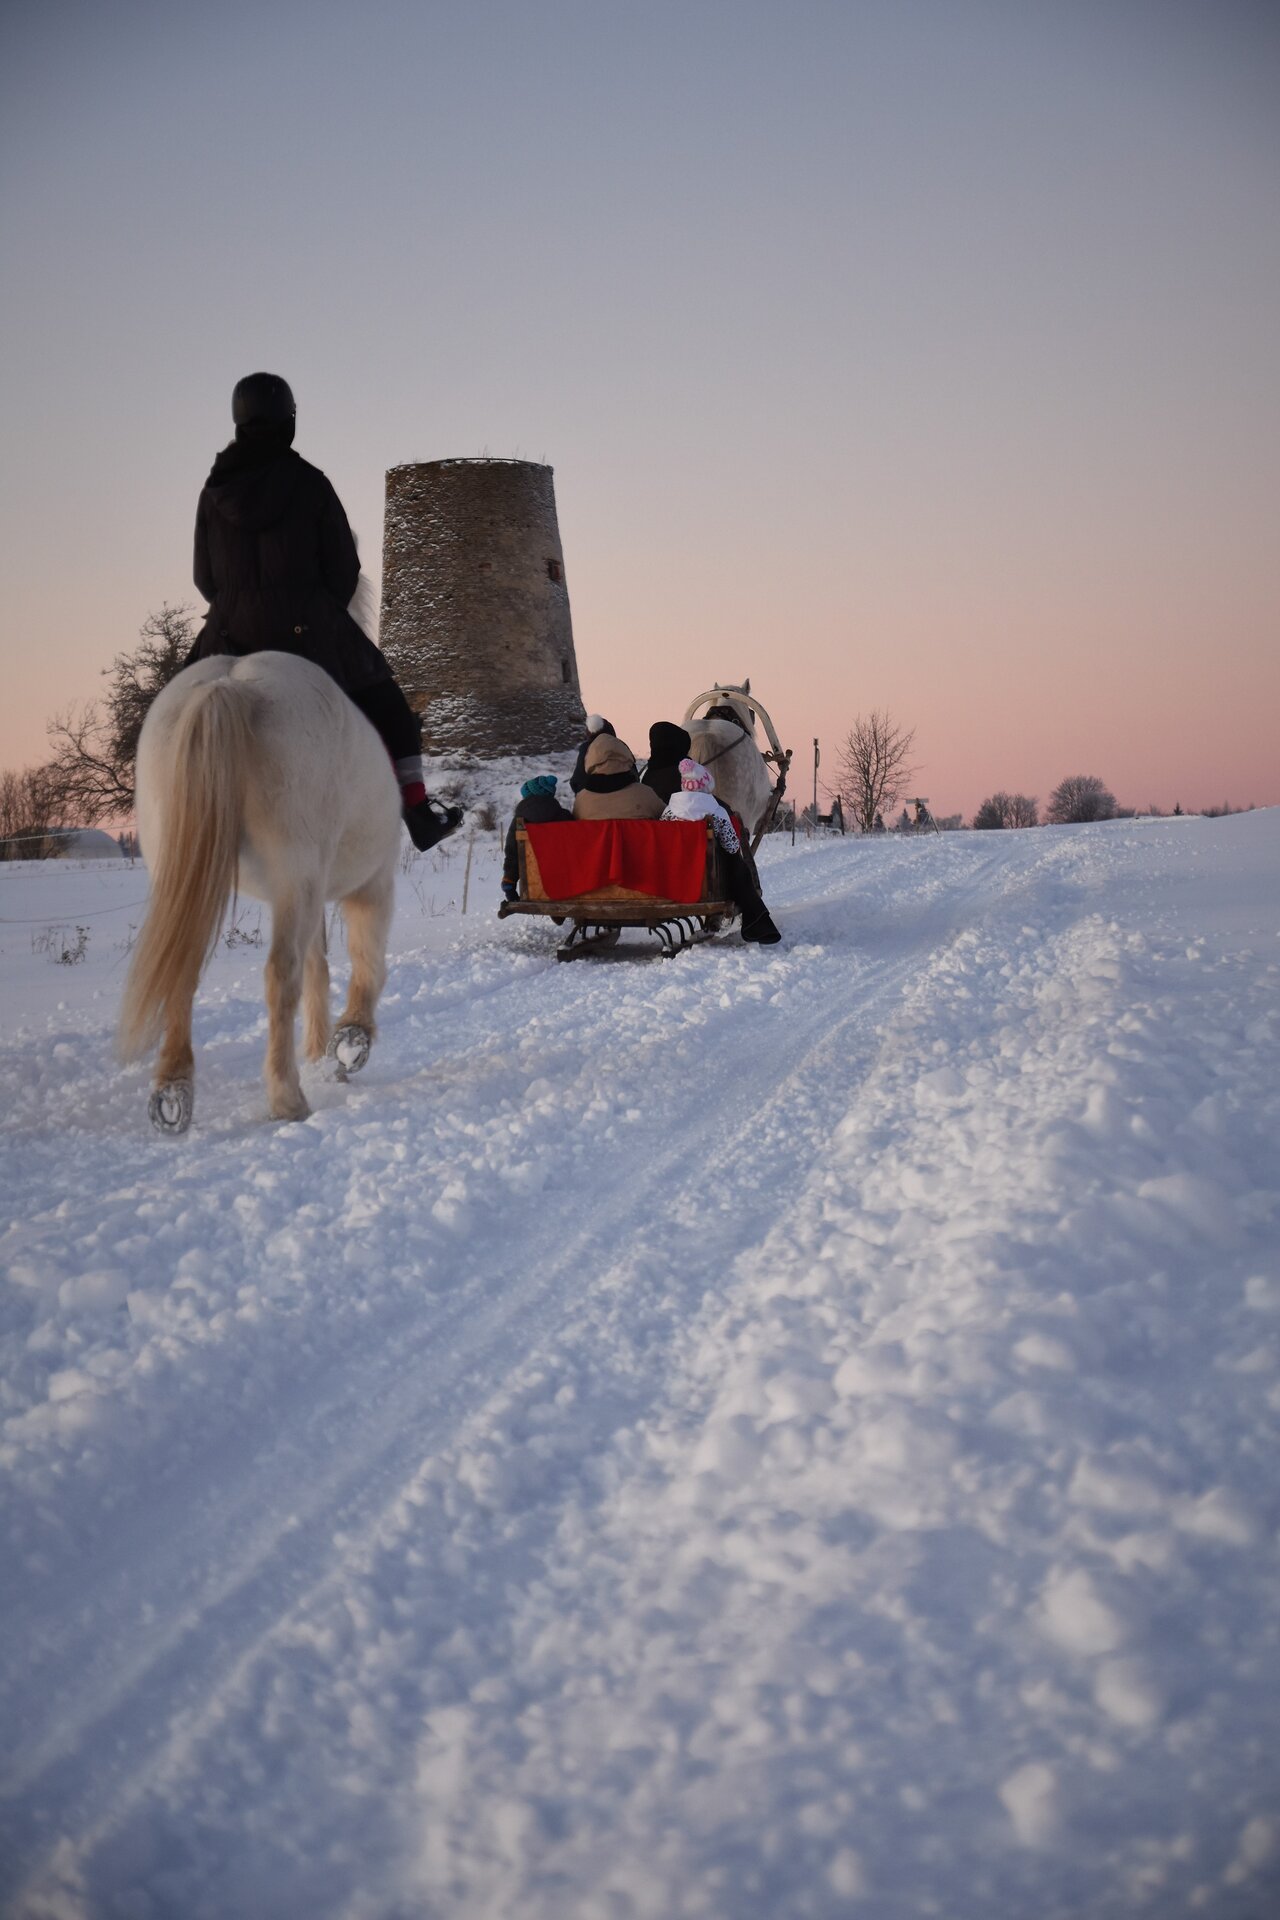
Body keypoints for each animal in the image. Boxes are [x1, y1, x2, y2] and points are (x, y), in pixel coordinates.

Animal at [121, 656, 401, 1128]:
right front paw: (351, 1040)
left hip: (196, 879)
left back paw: (174, 1088)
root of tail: (230, 685)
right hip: (298, 876)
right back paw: (287, 1097)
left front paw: (321, 1054)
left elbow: (320, 967)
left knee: (183, 969)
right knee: (281, 974)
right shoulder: (371, 882)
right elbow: (366, 960)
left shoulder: (311, 894)